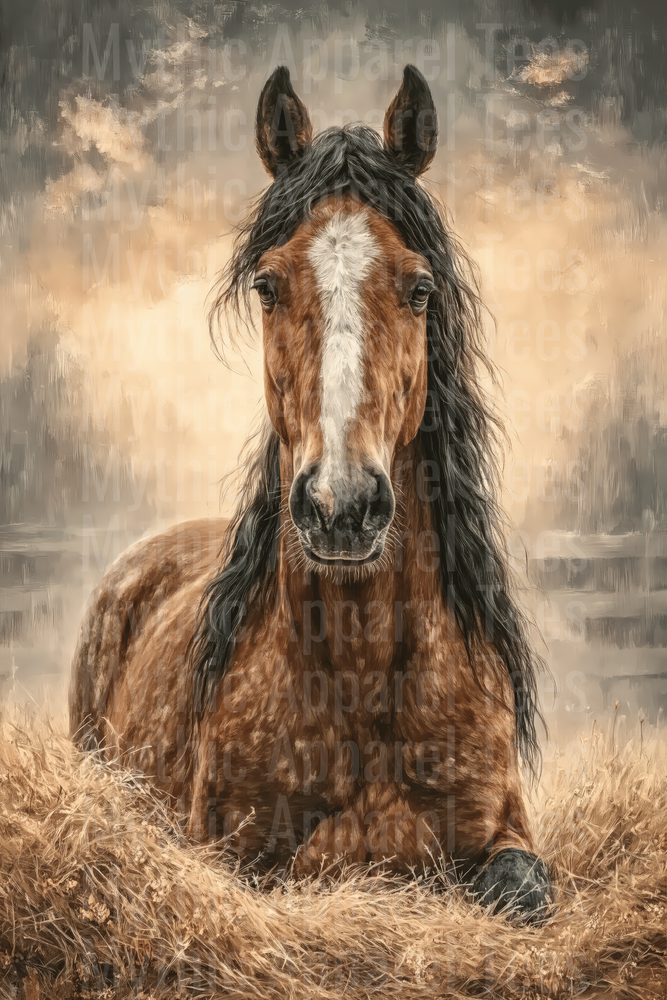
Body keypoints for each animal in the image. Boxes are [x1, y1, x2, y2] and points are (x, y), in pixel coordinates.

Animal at [70, 64, 552, 922]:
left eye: (419, 288)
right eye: (267, 285)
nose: (340, 506)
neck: (361, 678)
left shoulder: (509, 833)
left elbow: (518, 890)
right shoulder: (228, 857)